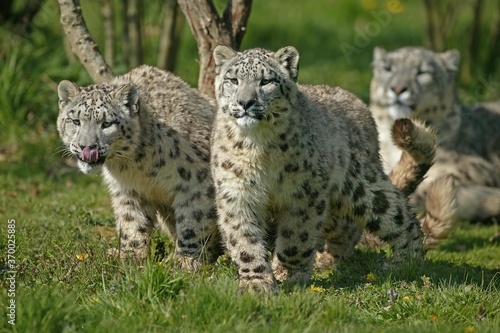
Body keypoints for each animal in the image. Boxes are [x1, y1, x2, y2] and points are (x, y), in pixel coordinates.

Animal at [57, 65, 221, 270]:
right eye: (75, 121)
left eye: (106, 123)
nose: (86, 147)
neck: (137, 165)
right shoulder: (127, 189)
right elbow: (131, 220)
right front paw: (131, 258)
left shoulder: (197, 181)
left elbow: (193, 219)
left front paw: (186, 261)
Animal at [211, 45, 426, 292]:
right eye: (233, 80)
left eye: (265, 81)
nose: (245, 102)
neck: (258, 146)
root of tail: (358, 102)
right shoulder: (237, 192)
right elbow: (244, 238)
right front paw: (256, 283)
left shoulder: (304, 193)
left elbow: (296, 235)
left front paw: (287, 274)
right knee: (346, 228)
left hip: (360, 186)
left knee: (398, 212)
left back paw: (406, 263)